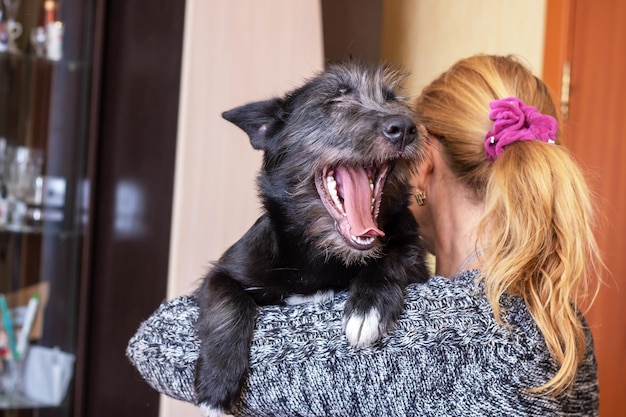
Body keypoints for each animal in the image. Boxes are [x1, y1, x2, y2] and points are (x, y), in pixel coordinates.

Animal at [195, 61, 428, 416]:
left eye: (392, 99)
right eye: (334, 101)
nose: (404, 127)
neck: (322, 256)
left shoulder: (414, 251)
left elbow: (394, 256)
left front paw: (368, 306)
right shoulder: (221, 273)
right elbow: (228, 302)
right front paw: (216, 383)